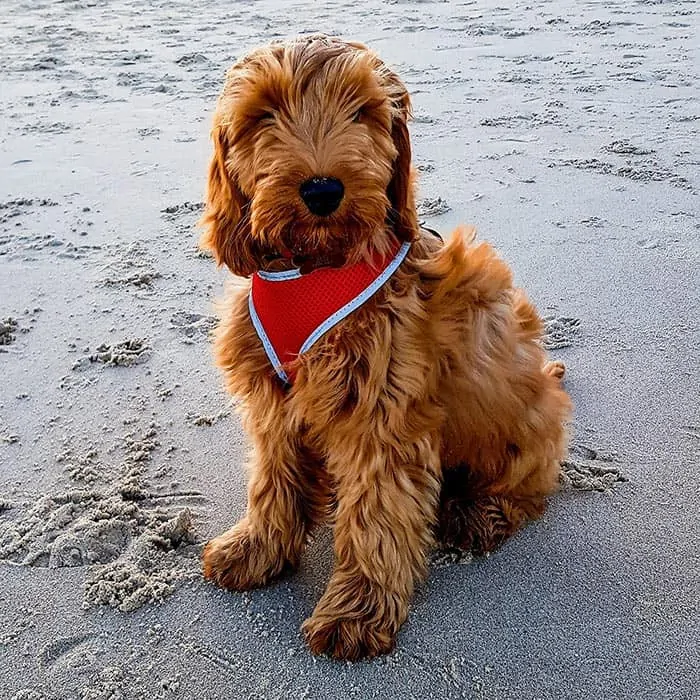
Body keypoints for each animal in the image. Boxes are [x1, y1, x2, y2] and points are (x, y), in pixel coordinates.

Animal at [197, 34, 568, 660]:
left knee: (525, 489)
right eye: (264, 114)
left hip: (525, 424)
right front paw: (258, 547)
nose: (323, 189)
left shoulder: (381, 410)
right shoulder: (274, 396)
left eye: (363, 112)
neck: (313, 267)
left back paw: (477, 514)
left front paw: (358, 609)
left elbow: (376, 512)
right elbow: (274, 477)